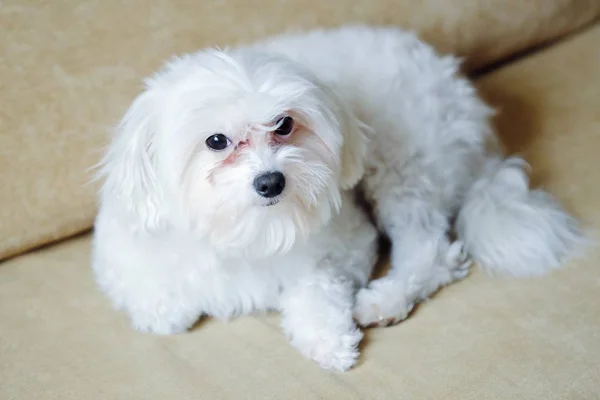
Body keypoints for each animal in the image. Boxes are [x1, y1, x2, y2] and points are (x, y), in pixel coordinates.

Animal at [91, 24, 584, 368]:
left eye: (285, 124)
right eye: (216, 141)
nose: (271, 182)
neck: (244, 232)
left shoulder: (347, 244)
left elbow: (316, 286)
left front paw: (327, 338)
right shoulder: (124, 260)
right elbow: (161, 310)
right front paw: (170, 307)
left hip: (402, 162)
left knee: (430, 251)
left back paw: (385, 300)